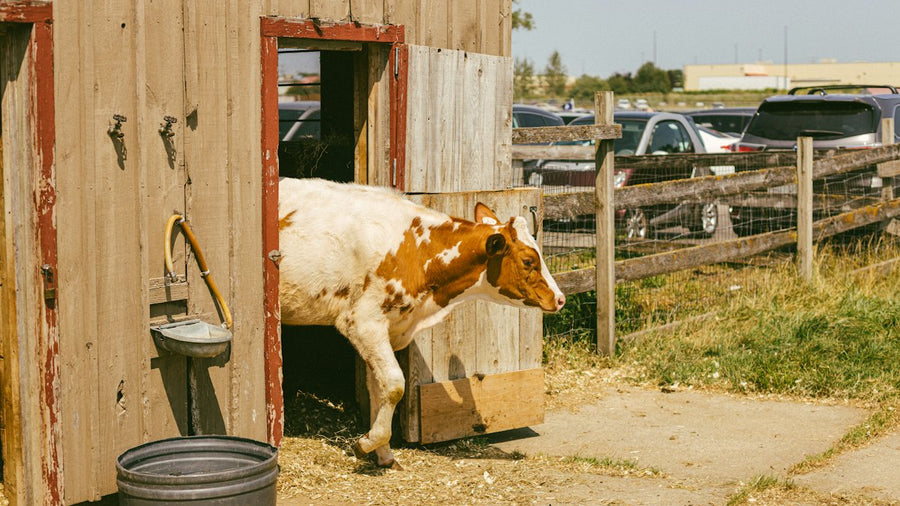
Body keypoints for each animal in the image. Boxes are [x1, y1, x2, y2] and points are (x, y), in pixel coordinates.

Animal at [278, 177, 565, 469]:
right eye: (528, 261)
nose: (560, 298)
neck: (416, 252)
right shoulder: (363, 322)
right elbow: (395, 384)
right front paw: (368, 443)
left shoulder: (388, 327)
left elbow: (379, 388)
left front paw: (383, 452)